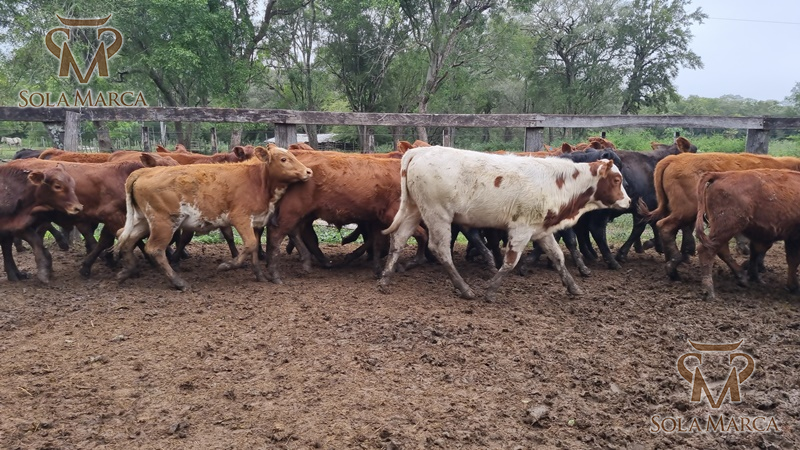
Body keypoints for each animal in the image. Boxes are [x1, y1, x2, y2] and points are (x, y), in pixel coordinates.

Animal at [114, 146, 312, 290]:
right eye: (284, 159)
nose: (308, 172)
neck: (257, 180)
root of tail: (143, 172)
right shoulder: (240, 218)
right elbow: (250, 245)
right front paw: (227, 265)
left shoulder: (256, 221)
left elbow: (255, 249)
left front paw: (260, 276)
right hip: (164, 223)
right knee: (154, 249)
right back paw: (179, 282)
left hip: (143, 221)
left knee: (125, 237)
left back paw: (126, 271)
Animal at [378, 146, 631, 300]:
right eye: (616, 179)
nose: (628, 201)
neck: (554, 181)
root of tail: (420, 151)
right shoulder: (521, 230)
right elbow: (510, 261)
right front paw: (490, 290)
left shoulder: (541, 230)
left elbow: (558, 257)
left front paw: (573, 287)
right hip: (437, 215)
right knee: (440, 249)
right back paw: (465, 289)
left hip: (414, 209)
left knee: (398, 239)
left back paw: (385, 279)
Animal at [695, 169, 800, 300]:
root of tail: (721, 175)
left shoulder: (792, 238)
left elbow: (793, 260)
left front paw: (793, 287)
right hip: (727, 227)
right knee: (706, 250)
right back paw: (709, 292)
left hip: (722, 229)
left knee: (720, 249)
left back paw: (743, 278)